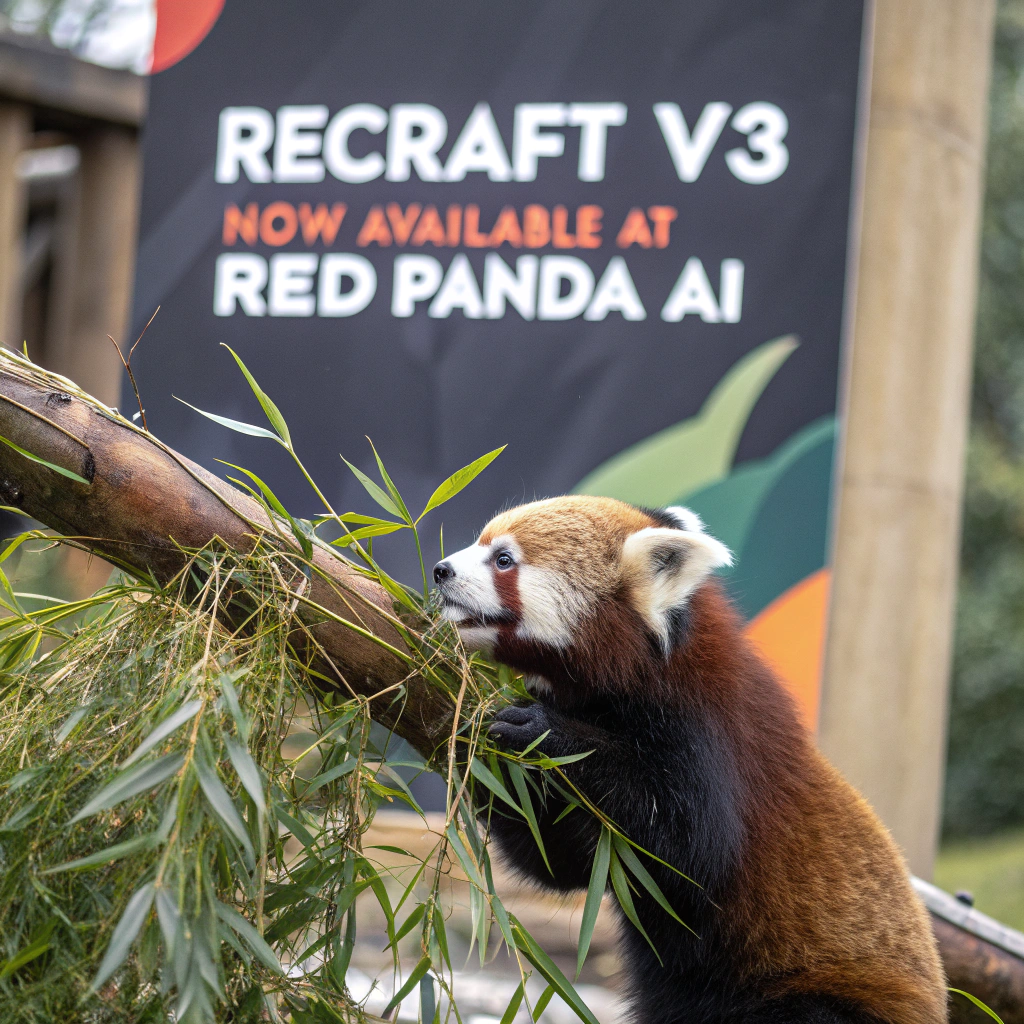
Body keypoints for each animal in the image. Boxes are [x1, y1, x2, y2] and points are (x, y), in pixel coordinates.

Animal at [432, 496, 947, 1024]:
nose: (441, 570)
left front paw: (544, 729)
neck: (644, 670)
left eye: (503, 560)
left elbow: (690, 848)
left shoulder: (708, 734)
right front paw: (463, 736)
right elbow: (562, 861)